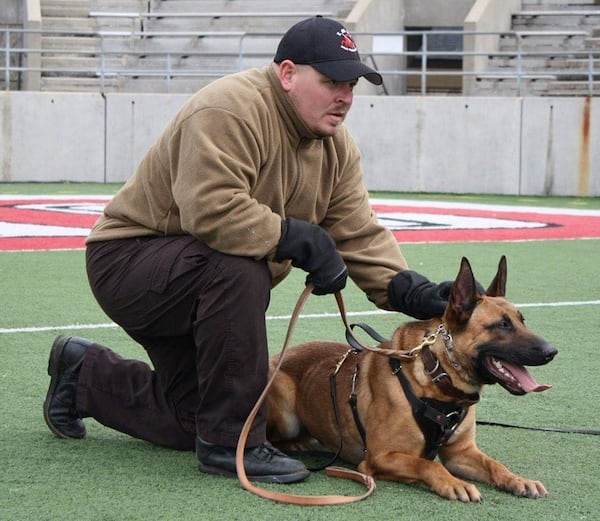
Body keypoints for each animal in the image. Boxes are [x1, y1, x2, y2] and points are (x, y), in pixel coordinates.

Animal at [268, 256, 556, 500]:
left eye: (521, 320)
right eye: (502, 325)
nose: (552, 351)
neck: (438, 381)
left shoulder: (461, 454)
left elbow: (494, 464)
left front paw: (516, 479)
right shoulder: (380, 457)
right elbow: (427, 465)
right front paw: (454, 483)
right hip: (285, 413)